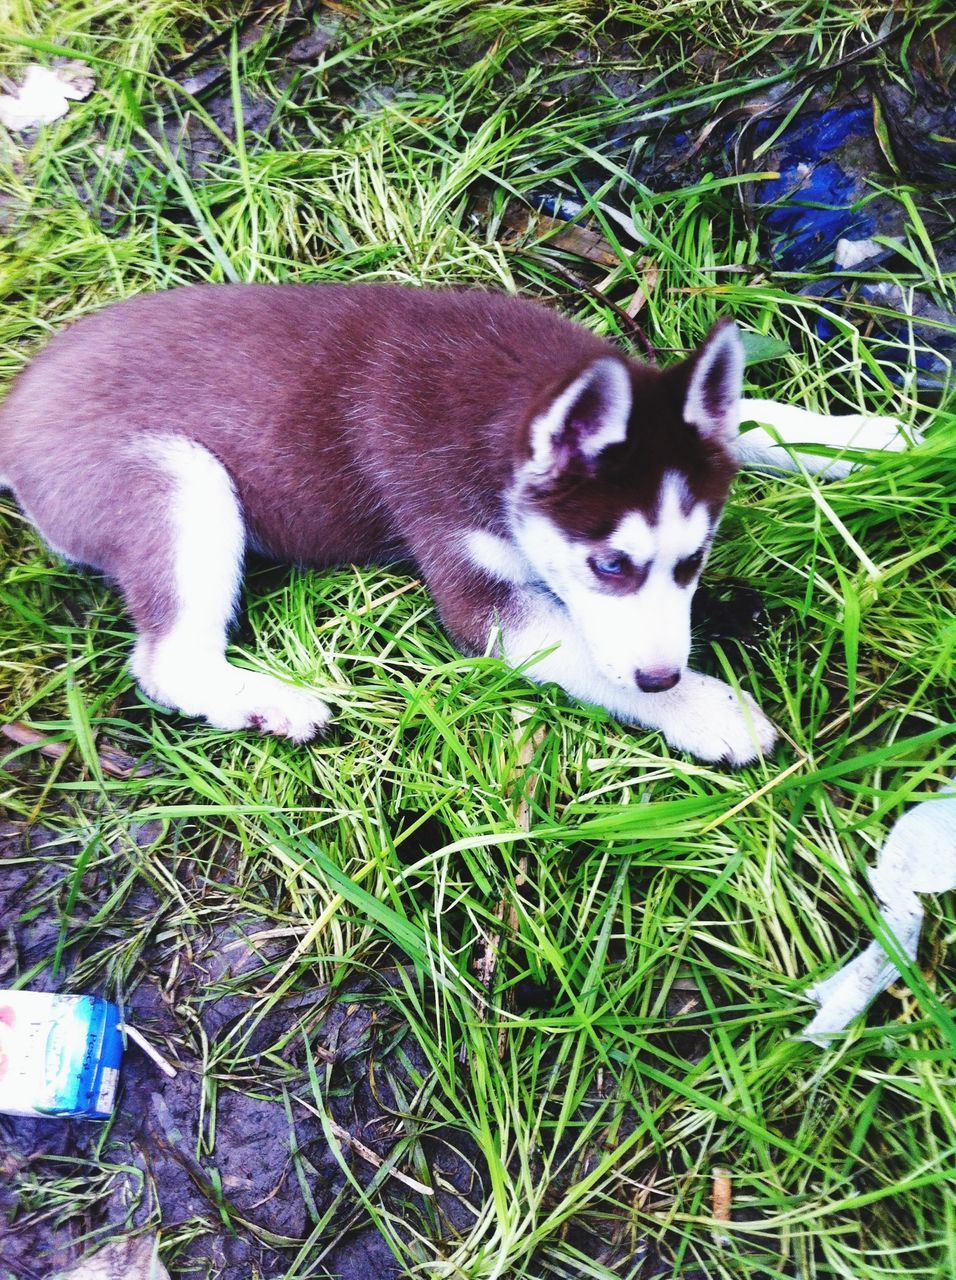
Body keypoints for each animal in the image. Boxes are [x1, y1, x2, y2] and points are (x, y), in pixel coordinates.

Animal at [0, 284, 911, 757]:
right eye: (609, 567)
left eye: (692, 564)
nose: (660, 678)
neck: (505, 404)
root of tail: (16, 405)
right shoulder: (475, 588)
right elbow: (581, 652)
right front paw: (708, 711)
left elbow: (752, 418)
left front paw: (872, 440)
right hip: (181, 480)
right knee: (167, 663)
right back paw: (271, 704)